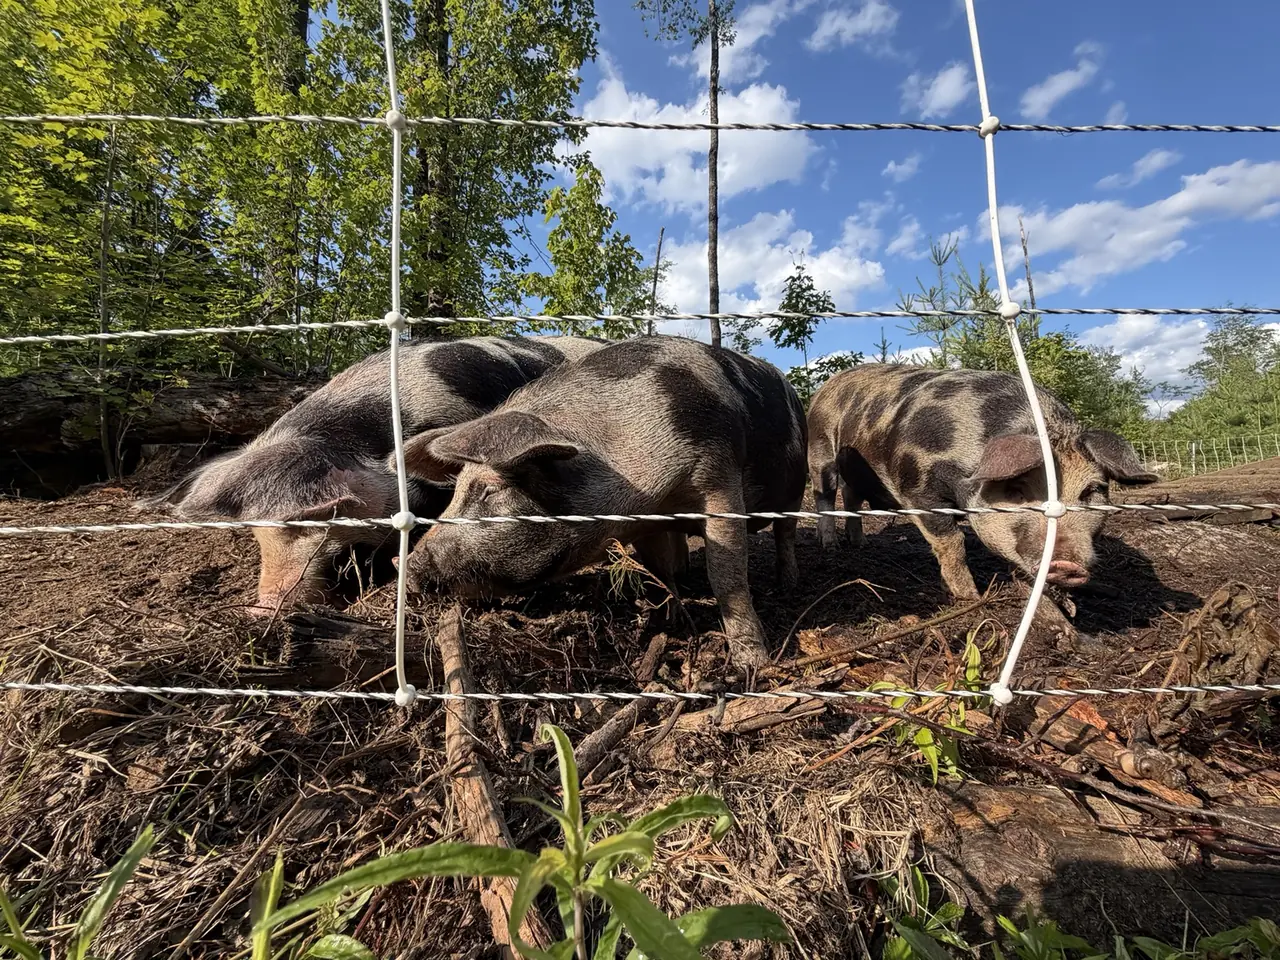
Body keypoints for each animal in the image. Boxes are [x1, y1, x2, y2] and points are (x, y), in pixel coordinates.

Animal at [393, 335, 808, 667]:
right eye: (456, 489)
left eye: (489, 490)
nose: (405, 565)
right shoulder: (648, 522)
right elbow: (659, 571)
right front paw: (668, 621)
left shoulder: (718, 480)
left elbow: (727, 576)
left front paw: (752, 664)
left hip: (796, 483)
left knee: (786, 533)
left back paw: (788, 584)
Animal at [806, 364, 1158, 600]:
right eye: (1017, 491)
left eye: (1092, 491)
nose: (1067, 564)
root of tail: (825, 386)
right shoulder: (917, 489)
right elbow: (952, 543)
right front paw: (970, 597)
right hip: (820, 448)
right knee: (825, 493)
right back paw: (830, 546)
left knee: (852, 496)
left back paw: (859, 543)